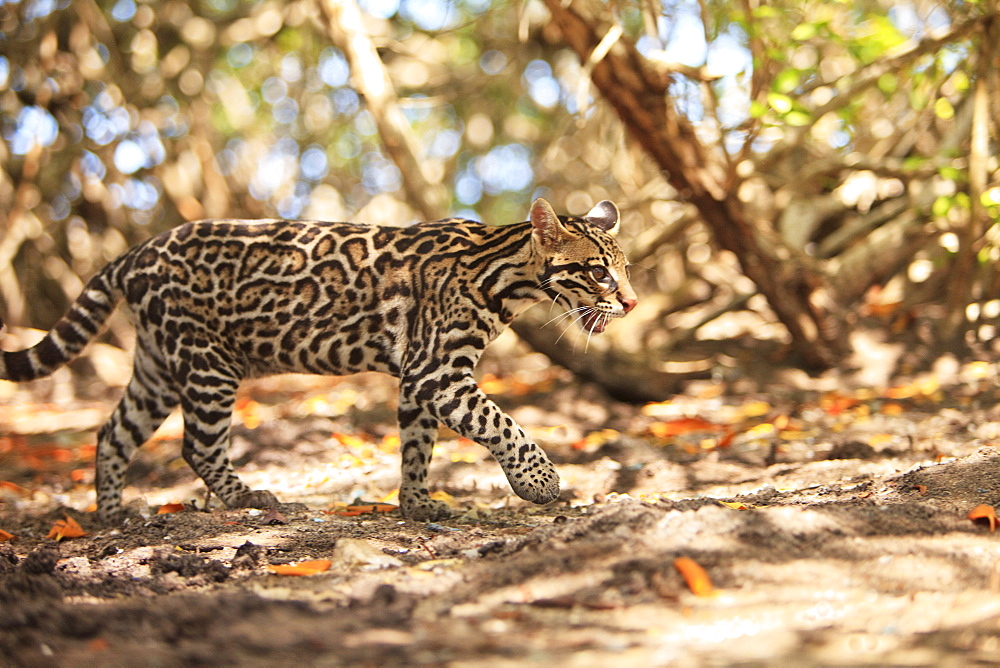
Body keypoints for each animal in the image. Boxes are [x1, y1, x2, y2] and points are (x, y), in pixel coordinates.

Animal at [0, 198, 636, 520]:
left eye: (626, 269)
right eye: (599, 272)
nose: (631, 302)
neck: (502, 273)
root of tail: (135, 251)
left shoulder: (418, 379)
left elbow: (417, 444)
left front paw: (416, 503)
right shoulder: (437, 372)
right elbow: (500, 423)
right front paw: (541, 482)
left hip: (159, 365)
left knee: (113, 432)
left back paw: (112, 513)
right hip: (207, 362)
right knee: (197, 444)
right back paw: (248, 499)